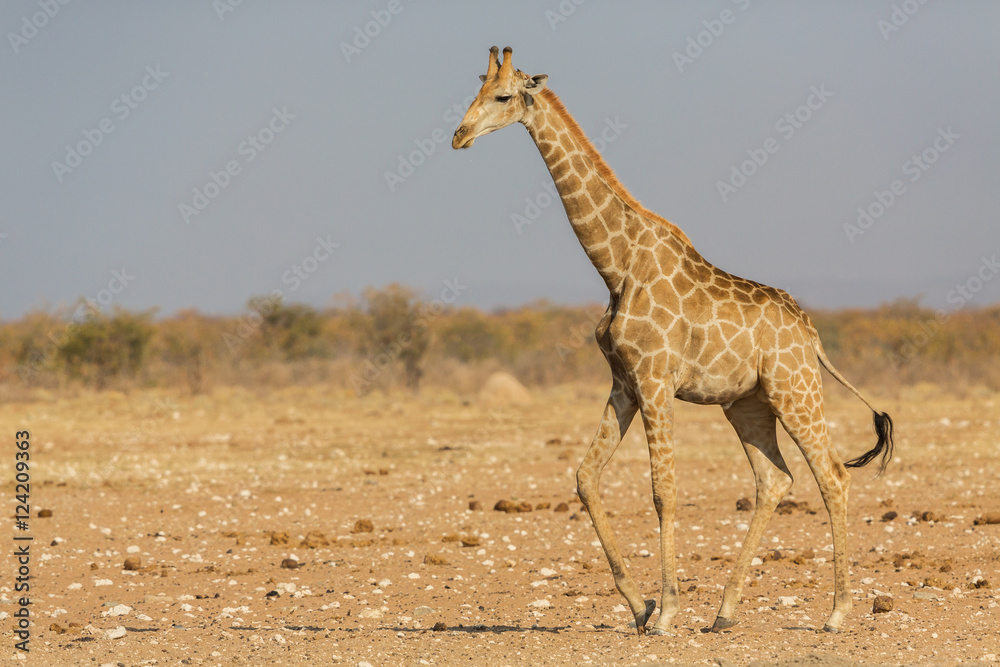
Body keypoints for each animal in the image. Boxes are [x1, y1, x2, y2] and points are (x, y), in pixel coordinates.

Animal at [452, 46, 894, 636]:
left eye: (502, 96)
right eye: (476, 88)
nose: (459, 135)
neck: (615, 265)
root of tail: (812, 334)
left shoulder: (656, 380)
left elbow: (664, 491)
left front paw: (664, 612)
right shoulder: (625, 381)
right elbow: (585, 477)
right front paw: (639, 605)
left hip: (795, 391)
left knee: (832, 477)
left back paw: (838, 612)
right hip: (747, 404)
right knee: (775, 479)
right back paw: (725, 612)